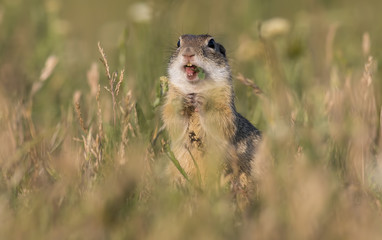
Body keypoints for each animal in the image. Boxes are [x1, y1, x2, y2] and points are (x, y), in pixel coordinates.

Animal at [161, 34, 262, 197]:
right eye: (178, 43)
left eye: (211, 43)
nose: (188, 52)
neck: (195, 88)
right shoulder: (170, 101)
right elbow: (172, 120)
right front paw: (183, 102)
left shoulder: (224, 103)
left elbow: (223, 120)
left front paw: (204, 102)